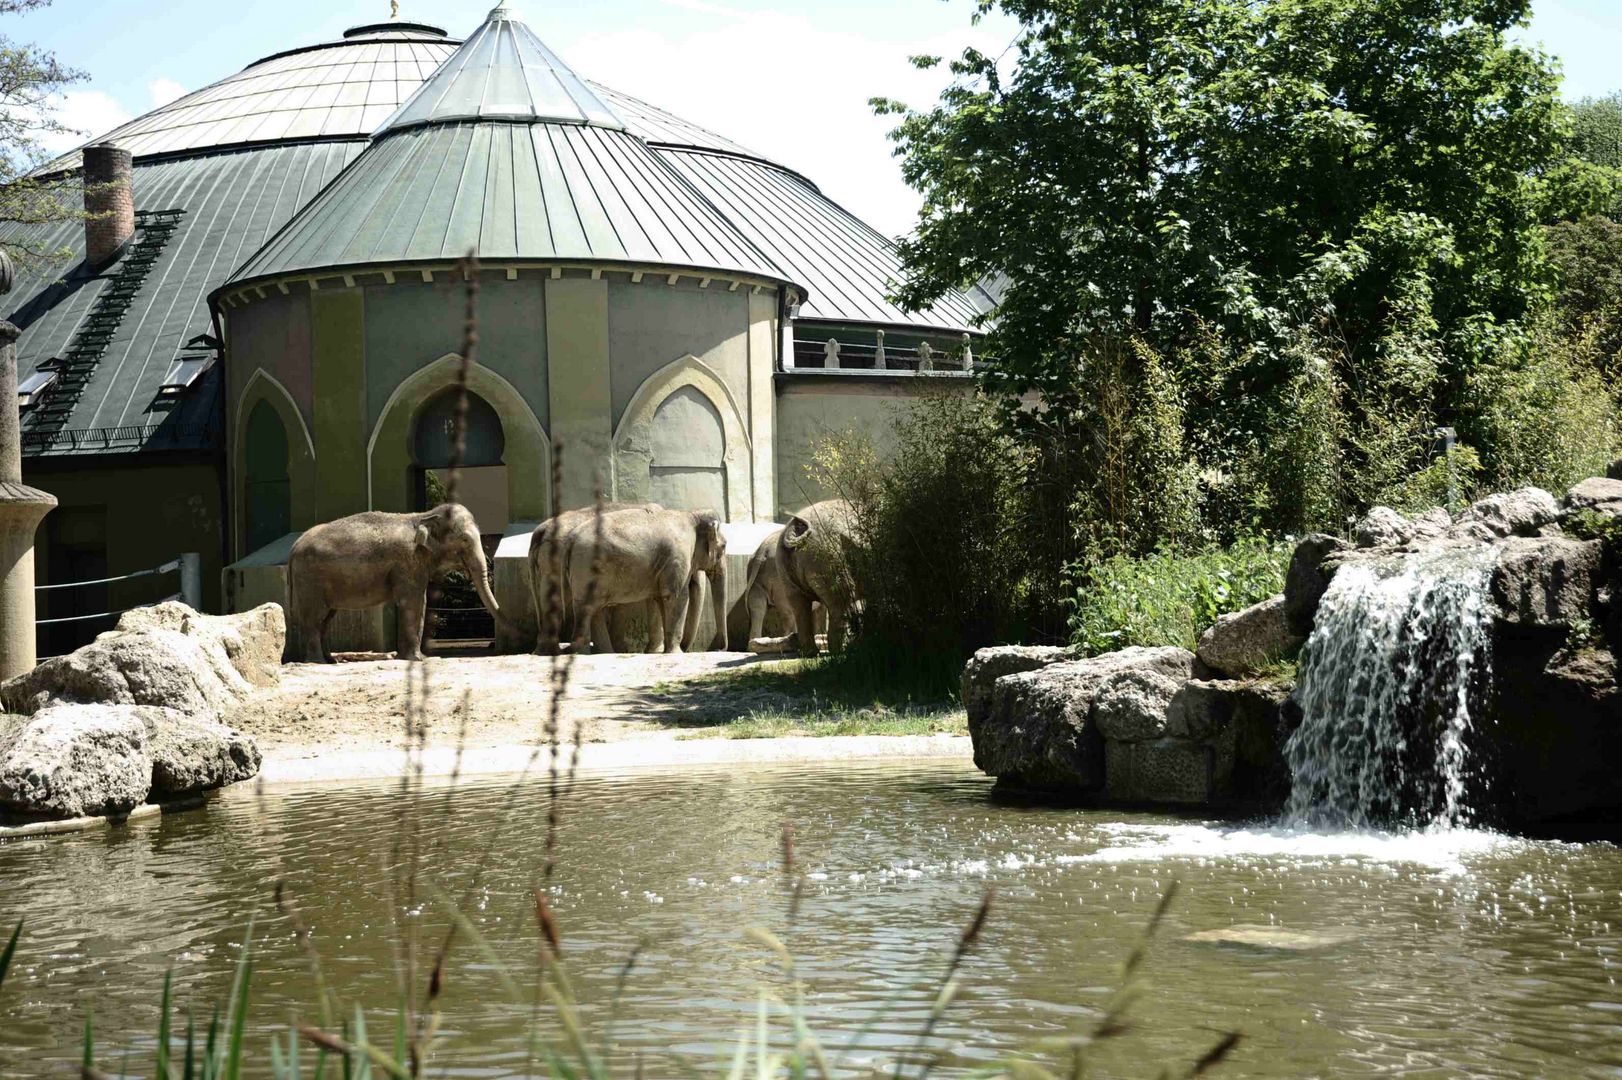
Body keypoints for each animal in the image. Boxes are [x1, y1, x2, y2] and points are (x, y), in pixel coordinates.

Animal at [287, 499, 499, 661]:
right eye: (465, 540)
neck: (424, 516)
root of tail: (294, 546)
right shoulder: (407, 560)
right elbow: (413, 602)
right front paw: (417, 659)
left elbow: (420, 602)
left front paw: (413, 658)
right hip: (310, 580)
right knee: (314, 618)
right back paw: (317, 662)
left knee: (326, 618)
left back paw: (331, 661)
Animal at [538, 502, 729, 651]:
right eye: (724, 546)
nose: (718, 648)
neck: (691, 514)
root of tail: (571, 539)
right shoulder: (677, 557)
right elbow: (676, 597)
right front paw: (675, 653)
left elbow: (660, 600)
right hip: (585, 567)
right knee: (587, 608)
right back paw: (583, 653)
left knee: (591, 608)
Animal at [772, 496, 862, 655]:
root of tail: (794, 529)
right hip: (829, 556)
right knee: (842, 600)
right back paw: (842, 651)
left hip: (784, 563)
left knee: (799, 606)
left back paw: (810, 653)